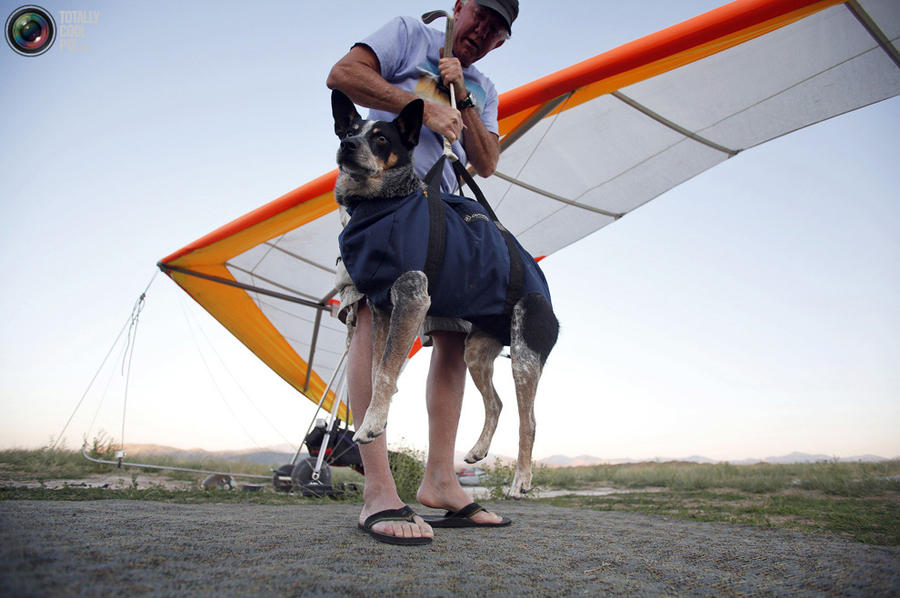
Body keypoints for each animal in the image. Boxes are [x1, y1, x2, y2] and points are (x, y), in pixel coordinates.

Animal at [330, 89, 556, 500]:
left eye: (381, 138)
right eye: (350, 130)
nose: (347, 145)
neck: (378, 205)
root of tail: (550, 304)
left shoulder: (413, 297)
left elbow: (384, 372)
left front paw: (371, 424)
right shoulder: (382, 306)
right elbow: (376, 371)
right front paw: (377, 417)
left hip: (524, 360)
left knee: (528, 421)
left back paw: (521, 480)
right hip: (476, 353)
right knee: (496, 403)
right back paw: (479, 449)